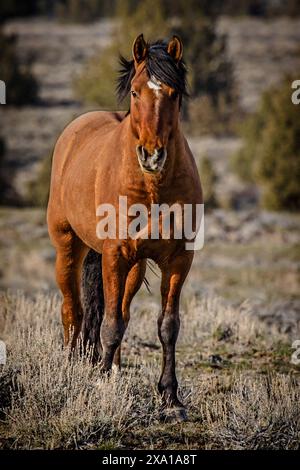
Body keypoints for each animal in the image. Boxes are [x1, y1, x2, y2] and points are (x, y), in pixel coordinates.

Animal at [47, 35, 202, 420]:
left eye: (173, 93)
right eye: (135, 91)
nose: (152, 154)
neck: (152, 187)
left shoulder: (178, 261)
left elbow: (167, 326)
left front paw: (170, 398)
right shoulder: (114, 255)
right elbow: (110, 323)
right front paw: (100, 384)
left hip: (134, 267)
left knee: (122, 311)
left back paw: (114, 369)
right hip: (68, 247)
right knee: (73, 310)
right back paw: (71, 366)